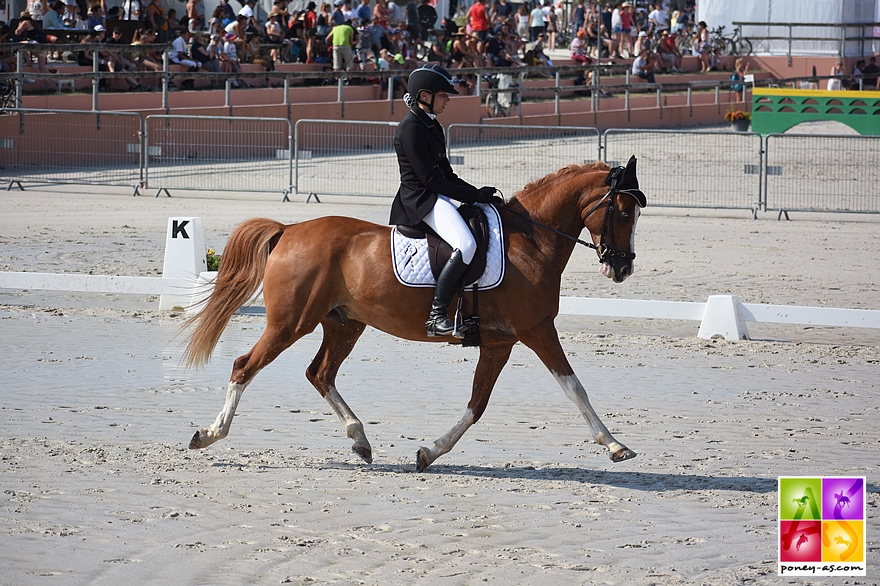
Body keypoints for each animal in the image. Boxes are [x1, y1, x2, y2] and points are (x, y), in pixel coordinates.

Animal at [182, 156, 648, 470]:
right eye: (624, 212)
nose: (622, 267)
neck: (530, 242)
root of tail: (289, 229)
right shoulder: (536, 330)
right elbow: (574, 387)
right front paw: (615, 445)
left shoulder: (500, 342)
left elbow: (477, 404)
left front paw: (428, 452)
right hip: (290, 323)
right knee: (245, 366)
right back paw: (209, 434)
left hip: (343, 324)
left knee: (320, 373)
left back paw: (360, 440)